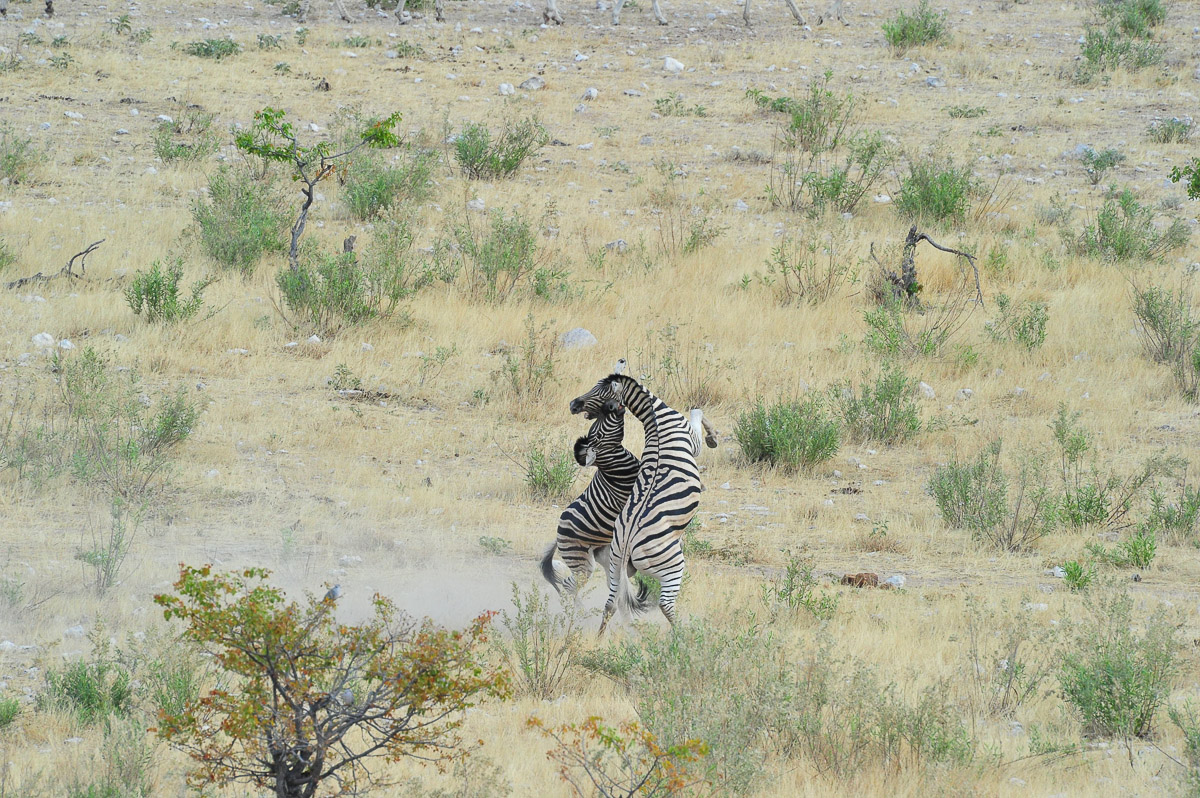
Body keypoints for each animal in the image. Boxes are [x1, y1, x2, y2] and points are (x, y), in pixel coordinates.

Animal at [540, 397, 639, 598]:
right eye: (599, 434)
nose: (610, 404)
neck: (613, 467)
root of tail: (558, 535)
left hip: (600, 553)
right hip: (581, 561)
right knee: (570, 585)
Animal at [568, 372, 717, 635]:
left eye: (599, 391)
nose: (573, 405)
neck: (656, 421)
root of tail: (627, 543)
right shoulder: (692, 440)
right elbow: (697, 412)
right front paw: (713, 437)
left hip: (614, 564)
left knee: (611, 604)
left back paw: (600, 637)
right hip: (672, 566)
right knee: (665, 604)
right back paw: (682, 636)